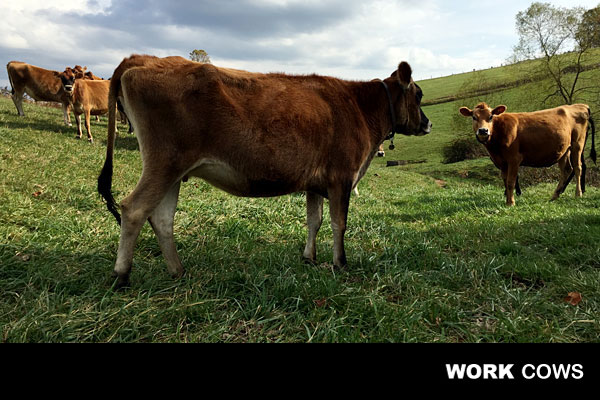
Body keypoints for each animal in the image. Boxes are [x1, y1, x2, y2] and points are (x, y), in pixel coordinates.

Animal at [98, 55, 434, 288]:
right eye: (418, 95)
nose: (428, 123)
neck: (359, 107)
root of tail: (142, 59)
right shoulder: (342, 177)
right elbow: (339, 223)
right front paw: (341, 263)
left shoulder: (316, 182)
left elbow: (314, 221)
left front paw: (309, 258)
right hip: (164, 163)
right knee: (133, 209)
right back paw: (121, 276)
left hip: (173, 171)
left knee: (162, 218)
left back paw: (177, 271)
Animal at [460, 102, 596, 206]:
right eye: (474, 117)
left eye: (490, 116)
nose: (483, 130)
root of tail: (581, 105)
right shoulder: (502, 162)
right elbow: (505, 181)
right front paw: (507, 200)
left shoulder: (514, 159)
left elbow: (511, 181)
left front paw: (511, 203)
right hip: (563, 150)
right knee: (566, 170)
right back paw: (555, 196)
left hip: (577, 144)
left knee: (578, 168)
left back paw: (578, 194)